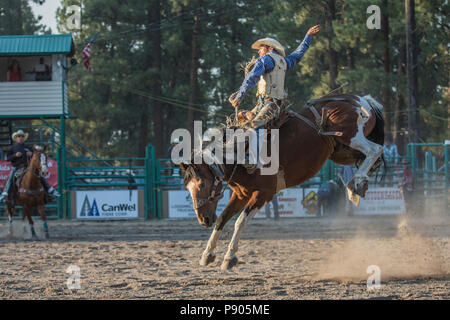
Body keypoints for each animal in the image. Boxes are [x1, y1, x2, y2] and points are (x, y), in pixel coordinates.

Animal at [179, 93, 384, 270]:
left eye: (202, 184)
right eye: (187, 189)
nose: (203, 219)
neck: (239, 155)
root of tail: (361, 99)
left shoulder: (263, 194)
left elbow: (240, 221)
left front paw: (230, 257)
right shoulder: (241, 194)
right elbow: (222, 218)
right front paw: (207, 254)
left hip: (349, 135)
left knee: (376, 149)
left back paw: (356, 184)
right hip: (341, 151)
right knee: (369, 158)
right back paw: (359, 184)